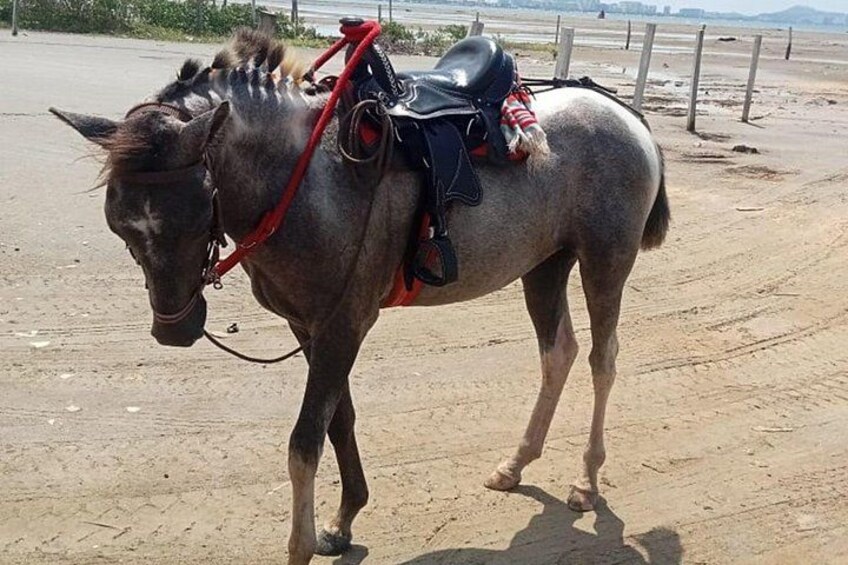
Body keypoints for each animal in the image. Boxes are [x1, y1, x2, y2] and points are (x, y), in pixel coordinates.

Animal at [51, 29, 669, 565]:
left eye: (199, 208)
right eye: (119, 224)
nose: (173, 328)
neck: (305, 175)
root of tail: (625, 114)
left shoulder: (344, 323)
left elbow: (305, 442)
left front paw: (301, 545)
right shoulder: (311, 327)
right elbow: (339, 421)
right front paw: (343, 521)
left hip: (605, 262)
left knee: (602, 360)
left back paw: (585, 479)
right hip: (543, 266)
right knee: (558, 353)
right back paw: (515, 464)